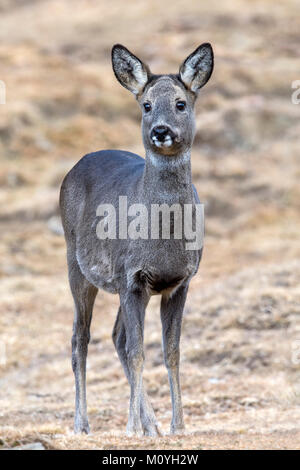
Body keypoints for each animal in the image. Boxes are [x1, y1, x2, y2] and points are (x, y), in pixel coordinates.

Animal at [59, 44, 213, 436]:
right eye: (146, 104)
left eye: (180, 103)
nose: (160, 130)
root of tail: (77, 164)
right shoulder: (132, 277)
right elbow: (138, 351)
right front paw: (131, 428)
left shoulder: (180, 281)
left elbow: (170, 352)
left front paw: (177, 425)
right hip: (76, 264)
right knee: (80, 338)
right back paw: (82, 423)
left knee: (116, 336)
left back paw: (152, 424)